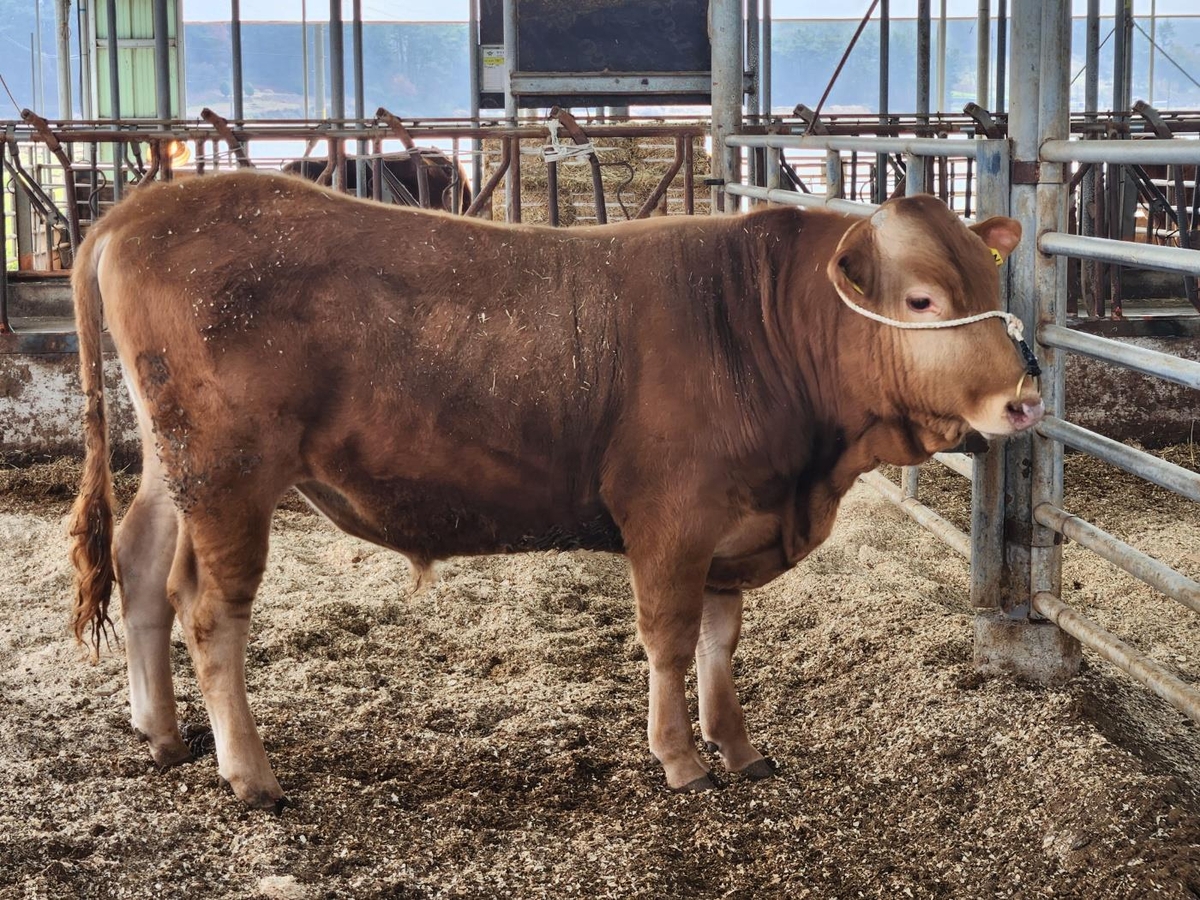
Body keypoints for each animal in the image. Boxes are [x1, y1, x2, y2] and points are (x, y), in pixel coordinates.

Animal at [70, 170, 1041, 811]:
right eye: (922, 300)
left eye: (989, 281)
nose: (1024, 399)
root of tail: (137, 209)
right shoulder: (672, 517)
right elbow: (671, 640)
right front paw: (680, 759)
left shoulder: (735, 522)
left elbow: (722, 642)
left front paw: (738, 746)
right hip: (229, 471)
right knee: (210, 608)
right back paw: (250, 774)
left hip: (175, 466)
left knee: (142, 564)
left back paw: (161, 732)